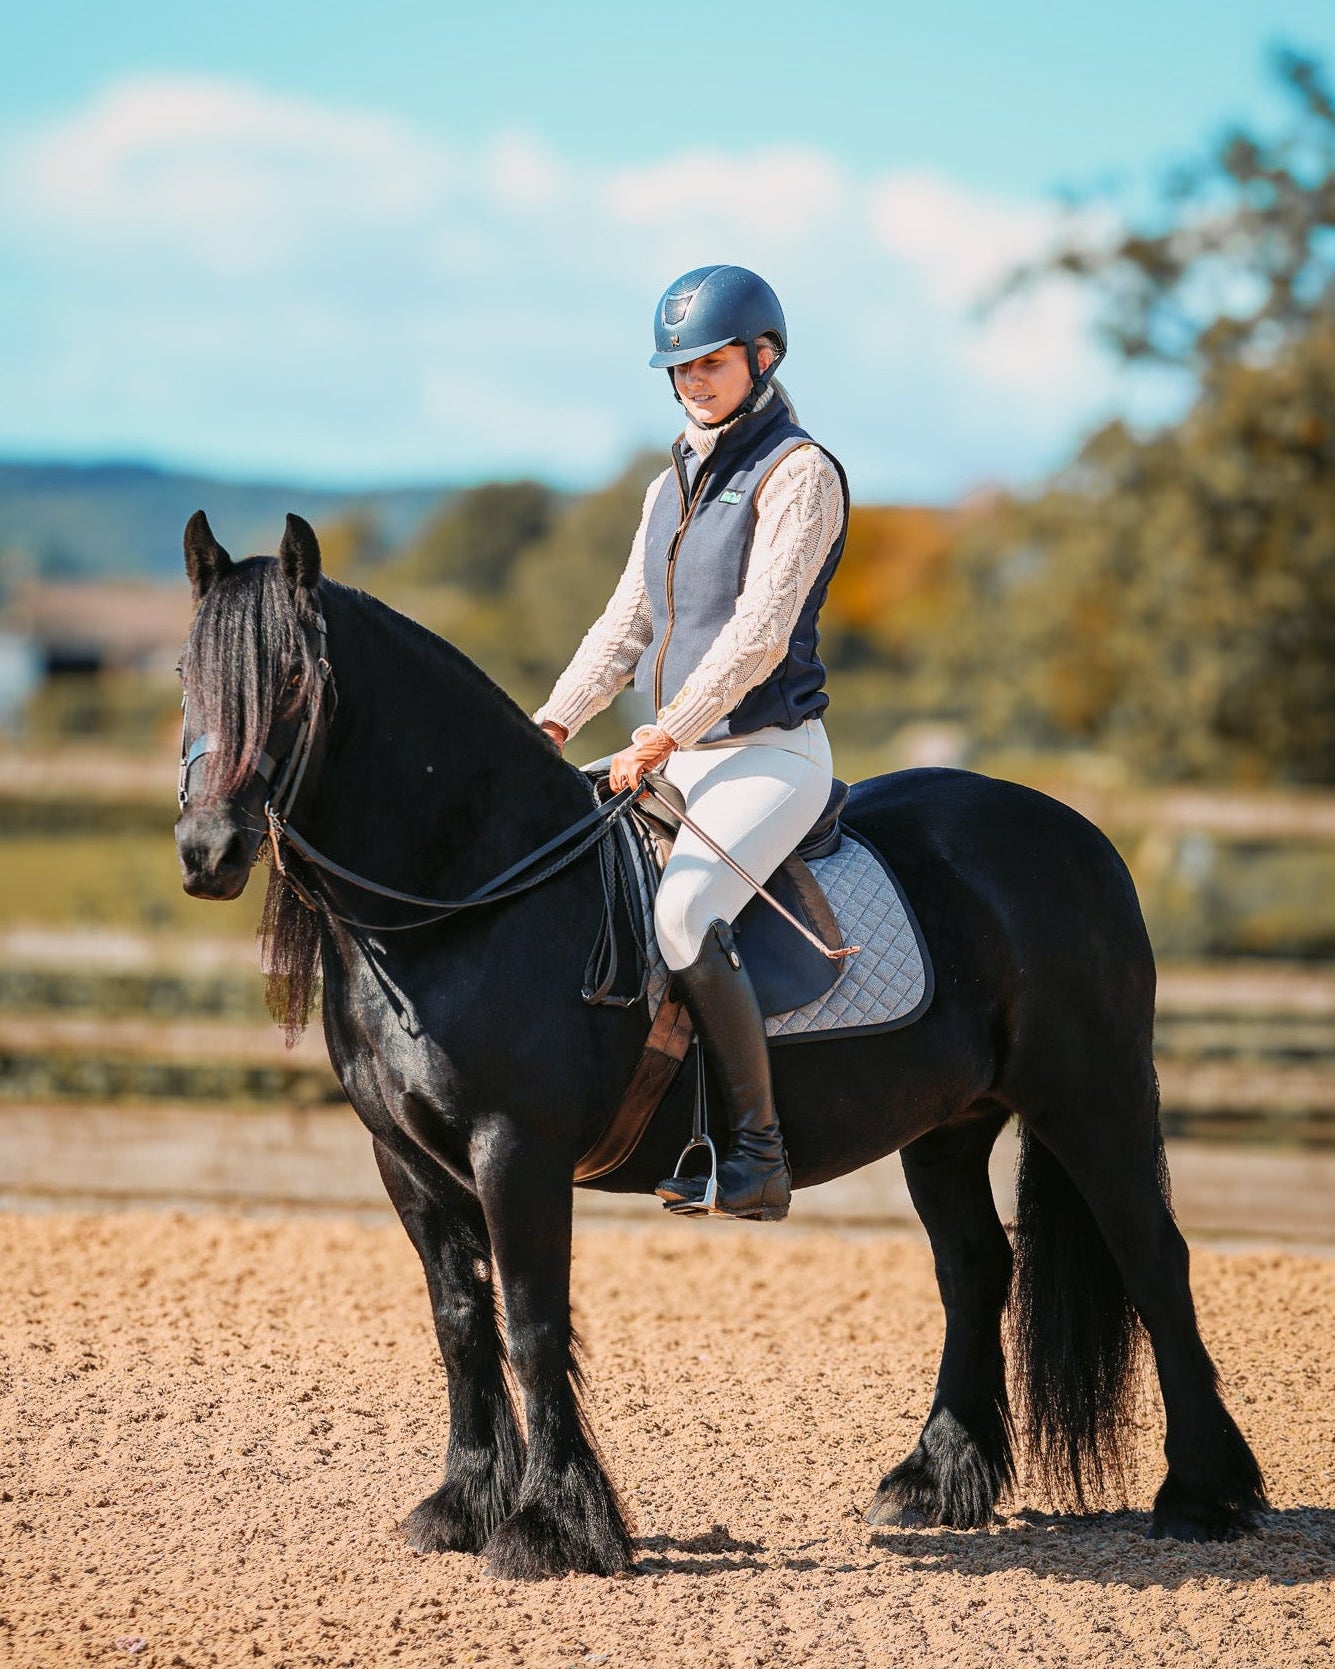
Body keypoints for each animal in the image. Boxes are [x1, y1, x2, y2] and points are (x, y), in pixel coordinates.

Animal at [173, 511, 1266, 1580]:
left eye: (293, 680)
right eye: (187, 672)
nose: (208, 852)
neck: (472, 896)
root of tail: (1077, 832)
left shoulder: (515, 1150)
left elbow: (530, 1323)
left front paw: (551, 1527)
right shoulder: (405, 1158)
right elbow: (461, 1324)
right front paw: (463, 1505)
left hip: (1091, 1096)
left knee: (1152, 1258)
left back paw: (1203, 1496)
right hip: (948, 1125)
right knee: (974, 1268)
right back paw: (935, 1482)